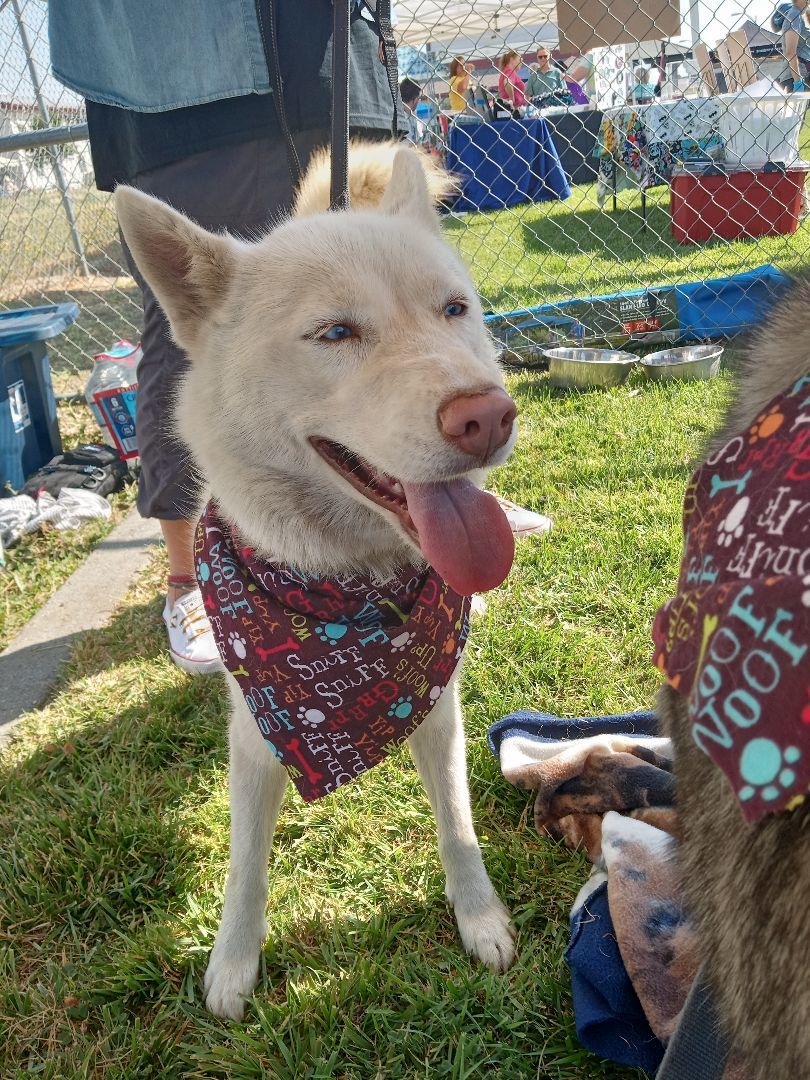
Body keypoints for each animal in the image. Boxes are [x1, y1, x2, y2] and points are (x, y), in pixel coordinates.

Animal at [115, 143, 520, 1019]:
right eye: (336, 332)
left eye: (454, 309)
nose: (488, 418)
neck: (346, 592)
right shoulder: (257, 735)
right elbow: (245, 866)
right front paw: (234, 964)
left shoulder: (439, 706)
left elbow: (457, 823)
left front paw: (479, 917)